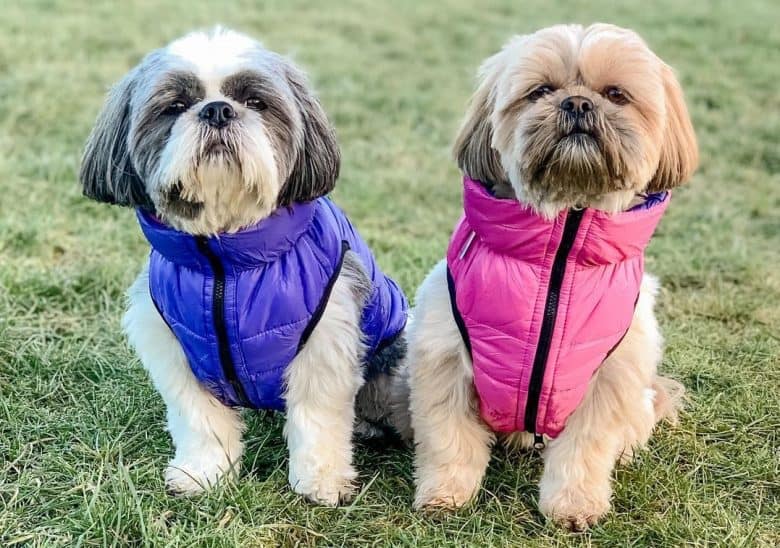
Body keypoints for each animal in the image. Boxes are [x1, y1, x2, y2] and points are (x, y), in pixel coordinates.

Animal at [78, 27, 412, 504]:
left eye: (255, 101)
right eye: (174, 106)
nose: (217, 110)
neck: (227, 264)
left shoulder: (325, 335)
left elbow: (317, 415)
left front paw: (321, 481)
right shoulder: (173, 342)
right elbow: (199, 418)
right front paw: (202, 473)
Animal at [406, 23, 696, 528]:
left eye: (615, 94)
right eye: (540, 91)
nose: (577, 103)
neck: (562, 247)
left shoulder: (608, 375)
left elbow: (584, 450)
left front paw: (574, 506)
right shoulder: (445, 356)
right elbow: (449, 439)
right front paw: (445, 496)